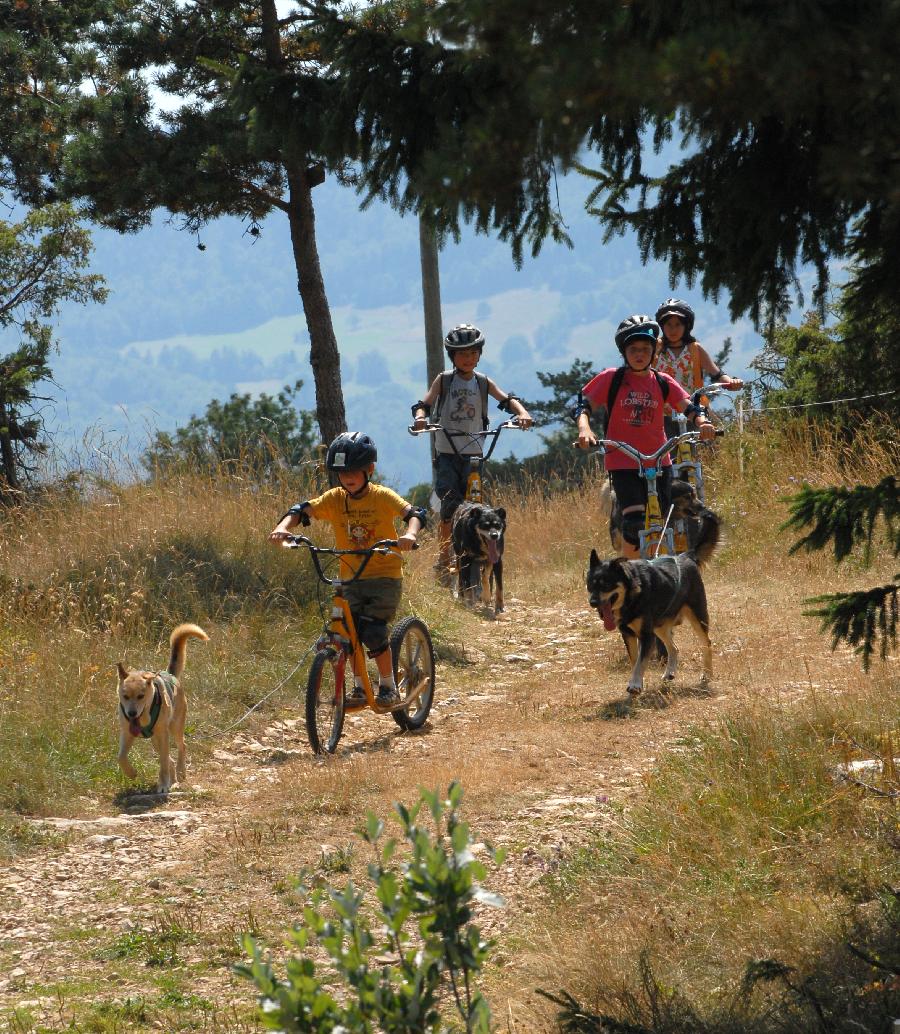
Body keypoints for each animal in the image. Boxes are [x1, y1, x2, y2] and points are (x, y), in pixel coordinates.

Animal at [115, 620, 206, 789]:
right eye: (125, 696)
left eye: (141, 696)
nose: (131, 713)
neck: (143, 717)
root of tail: (170, 674)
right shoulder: (127, 732)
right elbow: (121, 757)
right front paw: (131, 773)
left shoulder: (163, 734)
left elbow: (163, 761)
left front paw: (163, 785)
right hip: (155, 740)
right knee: (169, 758)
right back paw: (173, 778)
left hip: (174, 727)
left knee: (181, 747)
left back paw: (180, 772)